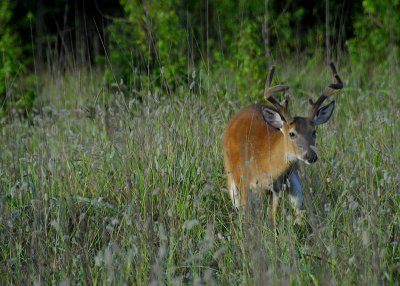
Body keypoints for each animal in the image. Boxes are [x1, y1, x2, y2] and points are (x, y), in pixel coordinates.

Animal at [223, 62, 342, 226]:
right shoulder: (244, 183)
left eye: (314, 131)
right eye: (292, 133)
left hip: (293, 181)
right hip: (231, 177)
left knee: (298, 209)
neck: (264, 164)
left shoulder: (278, 187)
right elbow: (247, 219)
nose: (311, 156)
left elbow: (274, 218)